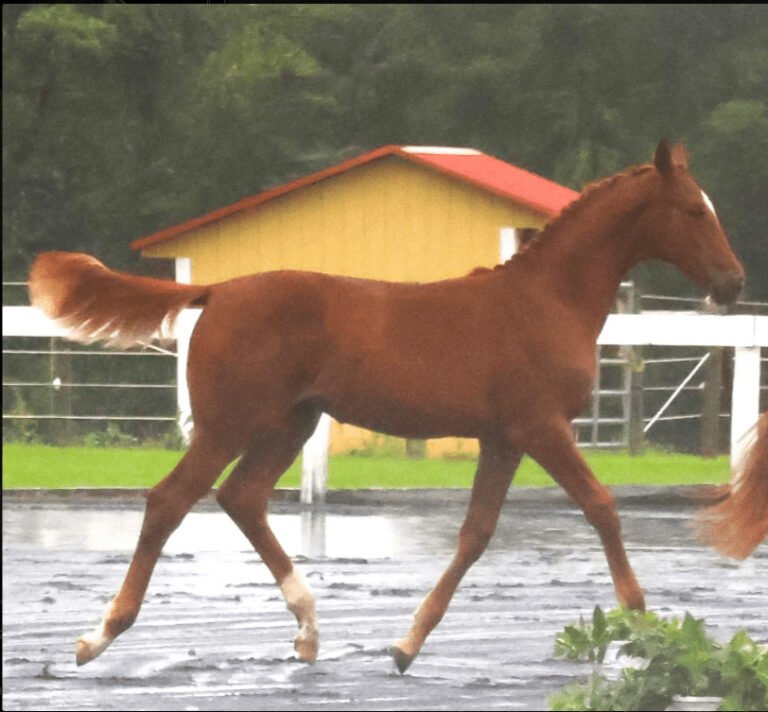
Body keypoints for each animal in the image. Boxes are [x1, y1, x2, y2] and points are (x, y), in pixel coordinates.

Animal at [28, 140, 746, 673]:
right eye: (692, 209)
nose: (733, 282)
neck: (547, 300)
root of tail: (219, 290)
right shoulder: (541, 427)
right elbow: (601, 507)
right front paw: (645, 628)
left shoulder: (503, 437)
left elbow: (476, 533)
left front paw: (404, 647)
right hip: (228, 424)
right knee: (170, 501)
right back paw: (99, 636)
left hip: (291, 423)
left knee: (243, 497)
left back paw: (309, 630)